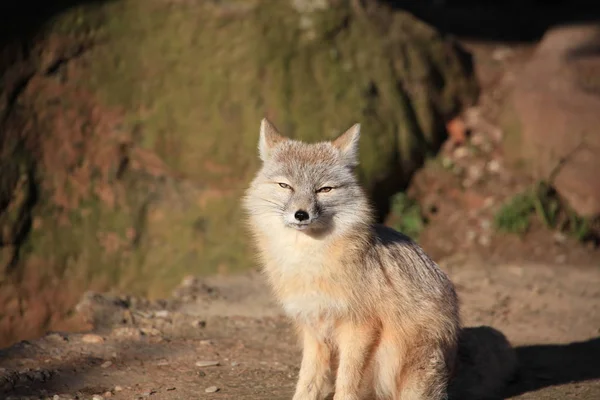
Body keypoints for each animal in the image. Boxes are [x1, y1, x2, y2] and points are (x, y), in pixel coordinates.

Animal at [243, 119, 516, 400]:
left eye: (324, 189)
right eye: (285, 186)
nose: (301, 214)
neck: (309, 262)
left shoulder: (360, 327)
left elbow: (346, 381)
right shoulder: (313, 330)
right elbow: (308, 382)